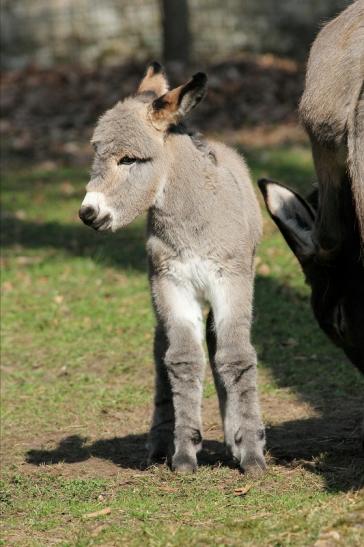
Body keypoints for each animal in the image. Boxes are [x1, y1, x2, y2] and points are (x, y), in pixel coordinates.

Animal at [79, 63, 266, 476]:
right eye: (96, 154)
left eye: (129, 160)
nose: (88, 213)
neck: (190, 219)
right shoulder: (170, 283)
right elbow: (181, 359)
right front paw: (183, 453)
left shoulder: (232, 281)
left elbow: (235, 357)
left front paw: (251, 453)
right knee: (162, 350)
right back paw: (159, 443)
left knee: (218, 345)